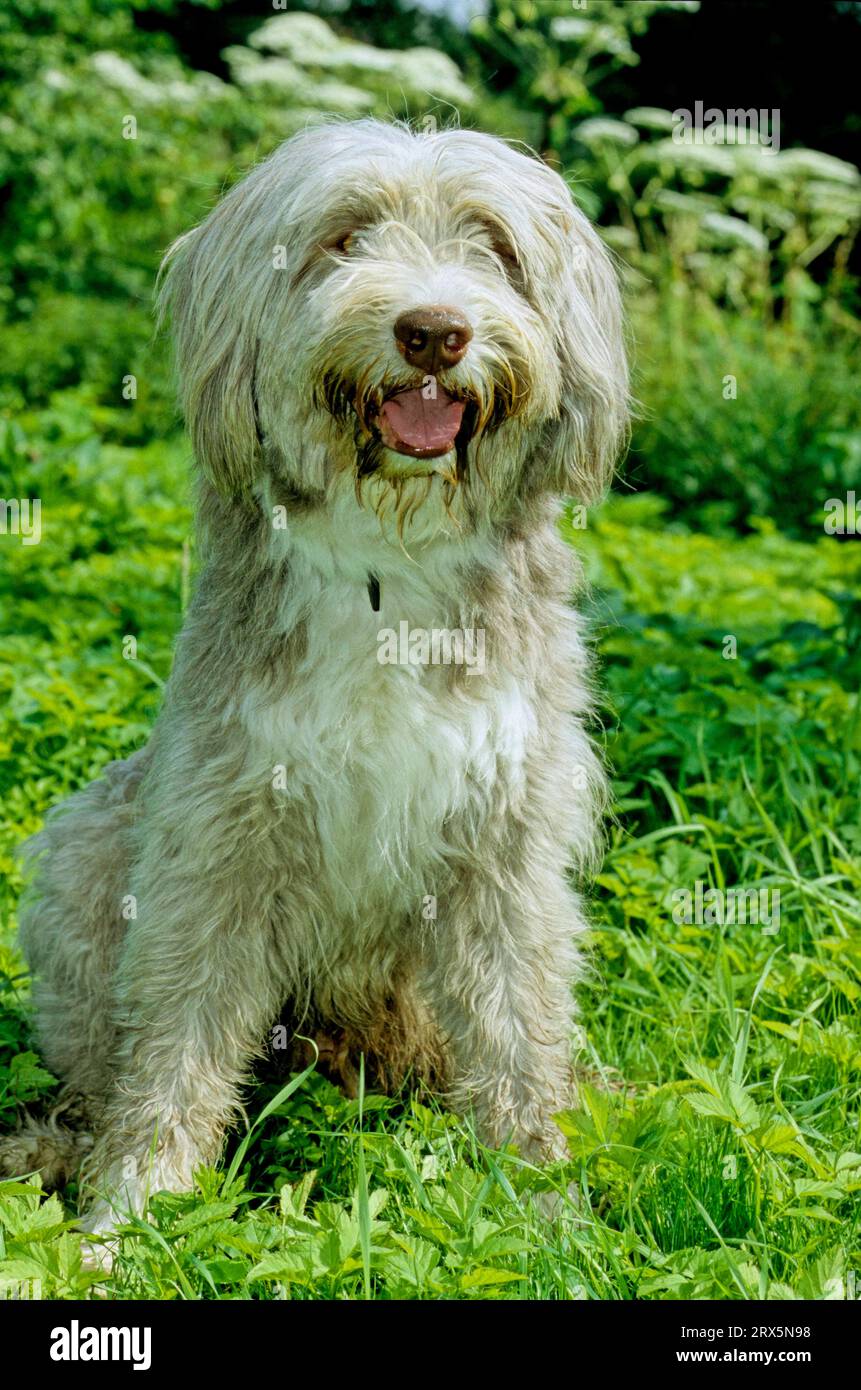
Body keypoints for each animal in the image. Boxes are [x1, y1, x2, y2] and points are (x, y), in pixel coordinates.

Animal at [3, 119, 628, 1239]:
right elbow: (175, 1051)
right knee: (94, 1078)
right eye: (345, 236)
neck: (390, 571)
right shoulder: (218, 839)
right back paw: (56, 1147)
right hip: (84, 855)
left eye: (492, 245)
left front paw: (547, 1207)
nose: (434, 335)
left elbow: (519, 1038)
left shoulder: (506, 847)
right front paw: (130, 1218)